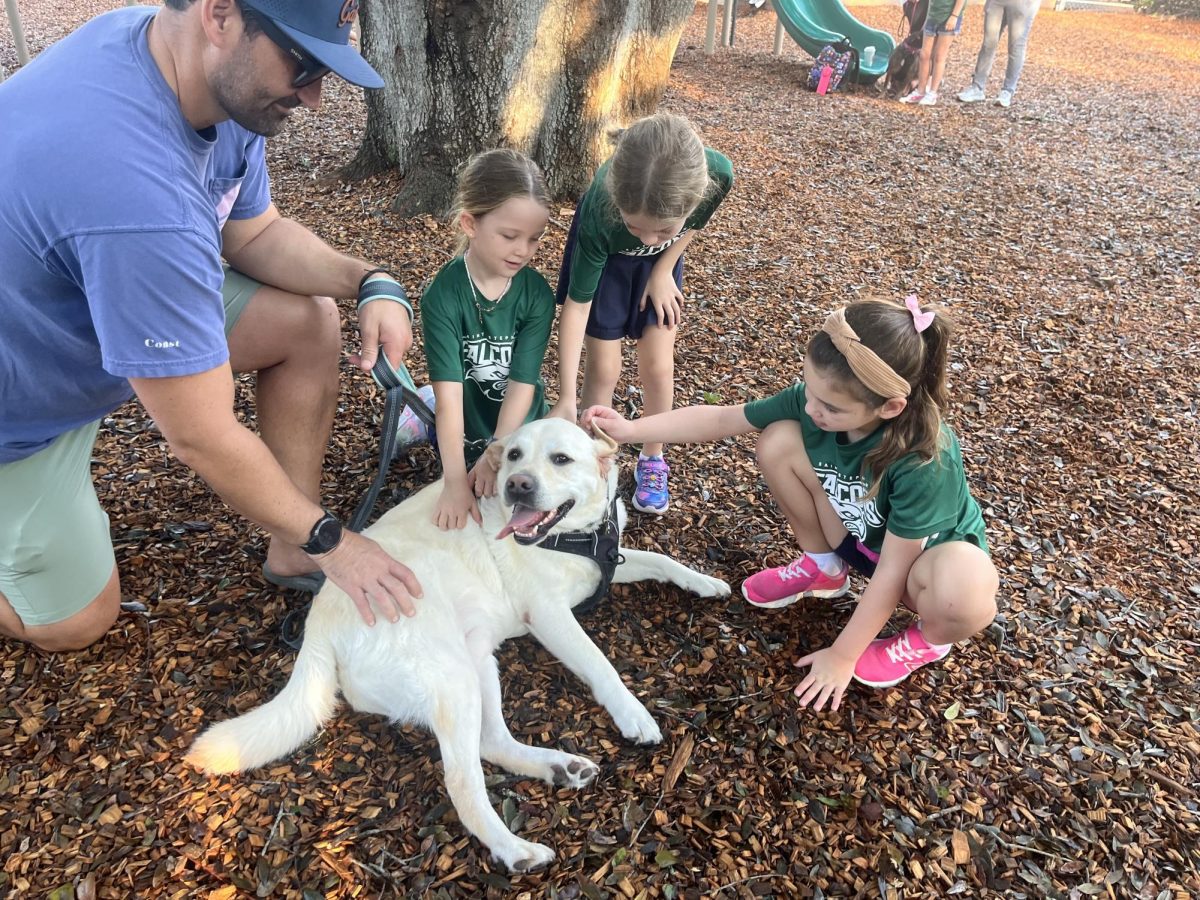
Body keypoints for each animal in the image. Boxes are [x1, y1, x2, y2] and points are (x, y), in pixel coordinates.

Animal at [187, 422, 724, 873]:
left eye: (561, 459)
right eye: (514, 455)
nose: (517, 485)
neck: (573, 536)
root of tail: (318, 625)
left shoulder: (607, 564)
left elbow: (663, 559)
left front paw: (707, 582)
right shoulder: (550, 615)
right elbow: (602, 665)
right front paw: (633, 714)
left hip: (478, 663)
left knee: (492, 743)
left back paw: (559, 767)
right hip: (454, 678)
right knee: (464, 784)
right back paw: (516, 849)